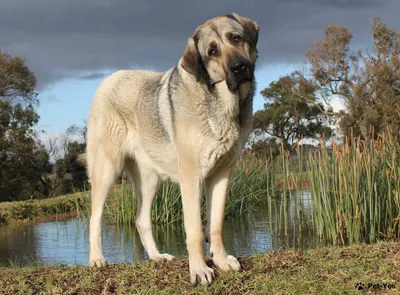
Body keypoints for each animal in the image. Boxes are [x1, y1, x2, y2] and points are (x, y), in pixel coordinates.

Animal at [84, 12, 260, 286]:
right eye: (212, 51)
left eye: (236, 38)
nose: (239, 67)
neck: (220, 102)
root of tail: (108, 80)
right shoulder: (191, 177)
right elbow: (195, 230)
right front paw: (199, 269)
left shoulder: (221, 175)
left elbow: (216, 225)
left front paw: (220, 261)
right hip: (107, 170)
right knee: (94, 219)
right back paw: (97, 259)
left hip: (149, 180)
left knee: (141, 220)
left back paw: (157, 257)